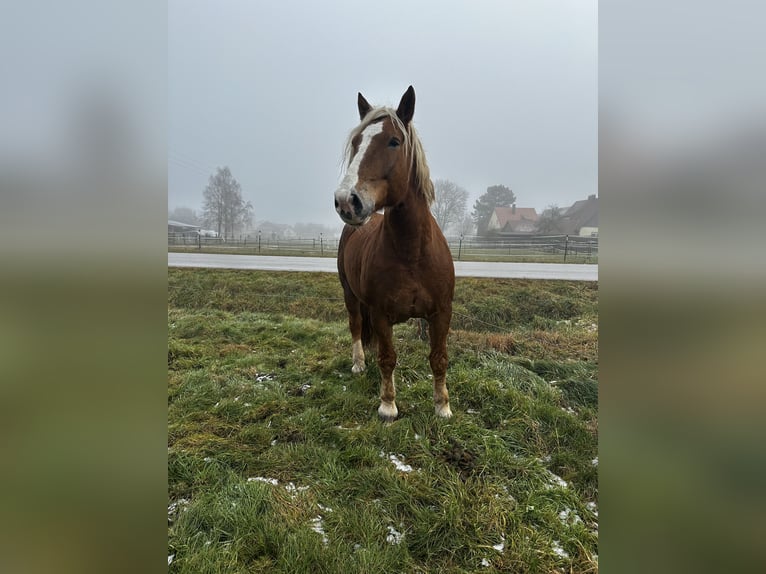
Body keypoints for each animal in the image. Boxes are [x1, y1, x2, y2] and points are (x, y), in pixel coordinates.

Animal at [336, 85, 456, 420]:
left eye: (394, 141)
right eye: (356, 142)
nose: (346, 201)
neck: (412, 253)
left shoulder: (441, 313)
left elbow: (438, 357)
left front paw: (442, 406)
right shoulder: (380, 314)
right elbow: (388, 357)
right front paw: (388, 405)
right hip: (350, 293)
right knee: (355, 326)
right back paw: (359, 364)